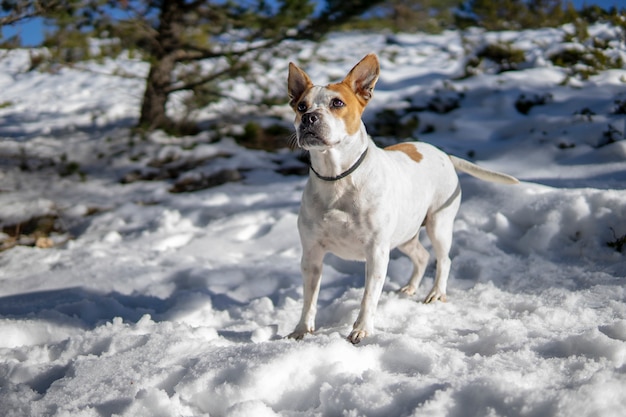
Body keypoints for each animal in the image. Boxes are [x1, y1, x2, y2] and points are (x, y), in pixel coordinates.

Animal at [286, 53, 516, 342]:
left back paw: (436, 293)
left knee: (443, 259)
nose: (309, 119)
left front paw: (361, 330)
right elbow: (309, 298)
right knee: (421, 256)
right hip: (405, 235)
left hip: (438, 225)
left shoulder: (376, 252)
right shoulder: (312, 253)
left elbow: (368, 297)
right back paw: (409, 288)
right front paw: (301, 330)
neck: (337, 178)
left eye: (337, 103)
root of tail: (444, 154)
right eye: (301, 106)